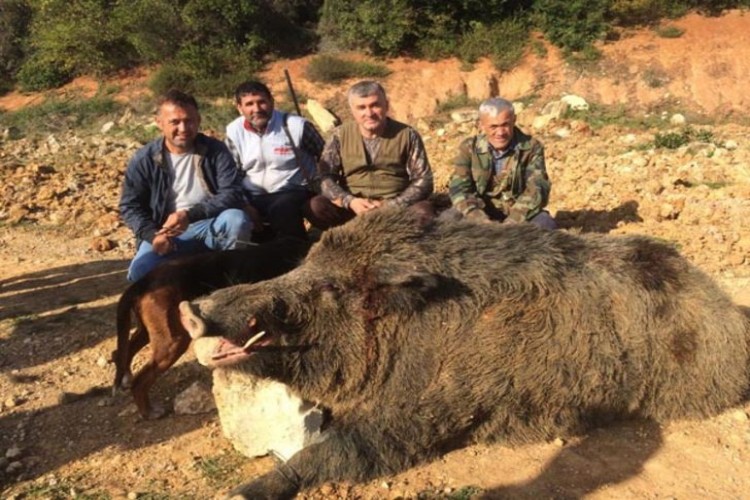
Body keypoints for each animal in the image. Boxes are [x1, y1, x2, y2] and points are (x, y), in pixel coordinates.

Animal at [112, 237, 312, 418]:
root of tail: (144, 281)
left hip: (154, 331)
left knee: (123, 350)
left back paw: (126, 378)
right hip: (173, 340)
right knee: (140, 380)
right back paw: (148, 412)